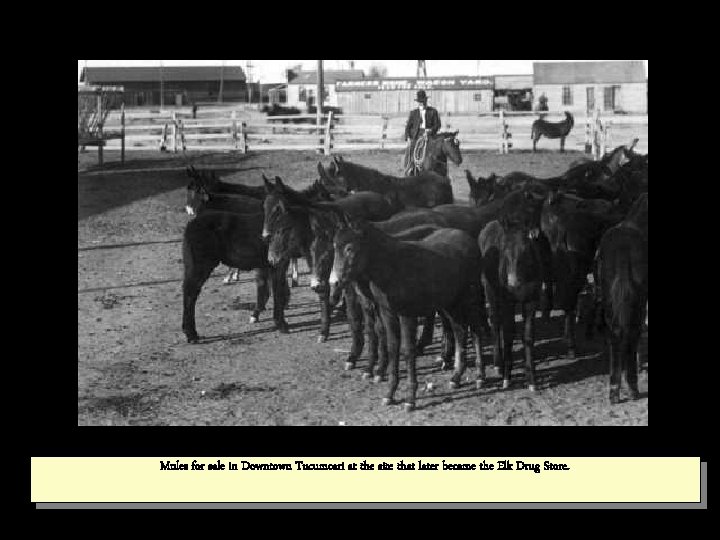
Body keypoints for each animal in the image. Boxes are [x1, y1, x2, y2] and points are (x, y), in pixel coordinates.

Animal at [183, 210, 290, 342]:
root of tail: (190, 225)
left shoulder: (268, 266)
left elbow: (267, 289)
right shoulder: (278, 263)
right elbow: (278, 293)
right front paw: (281, 324)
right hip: (200, 266)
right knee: (190, 294)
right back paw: (191, 335)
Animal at [330, 221, 486, 412]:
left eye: (350, 248)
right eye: (334, 246)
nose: (334, 282)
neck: (392, 267)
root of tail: (469, 239)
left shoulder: (407, 315)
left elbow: (408, 350)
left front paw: (410, 399)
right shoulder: (387, 313)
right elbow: (392, 347)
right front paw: (389, 394)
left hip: (470, 298)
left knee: (476, 331)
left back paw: (479, 377)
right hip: (450, 303)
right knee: (460, 331)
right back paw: (456, 377)